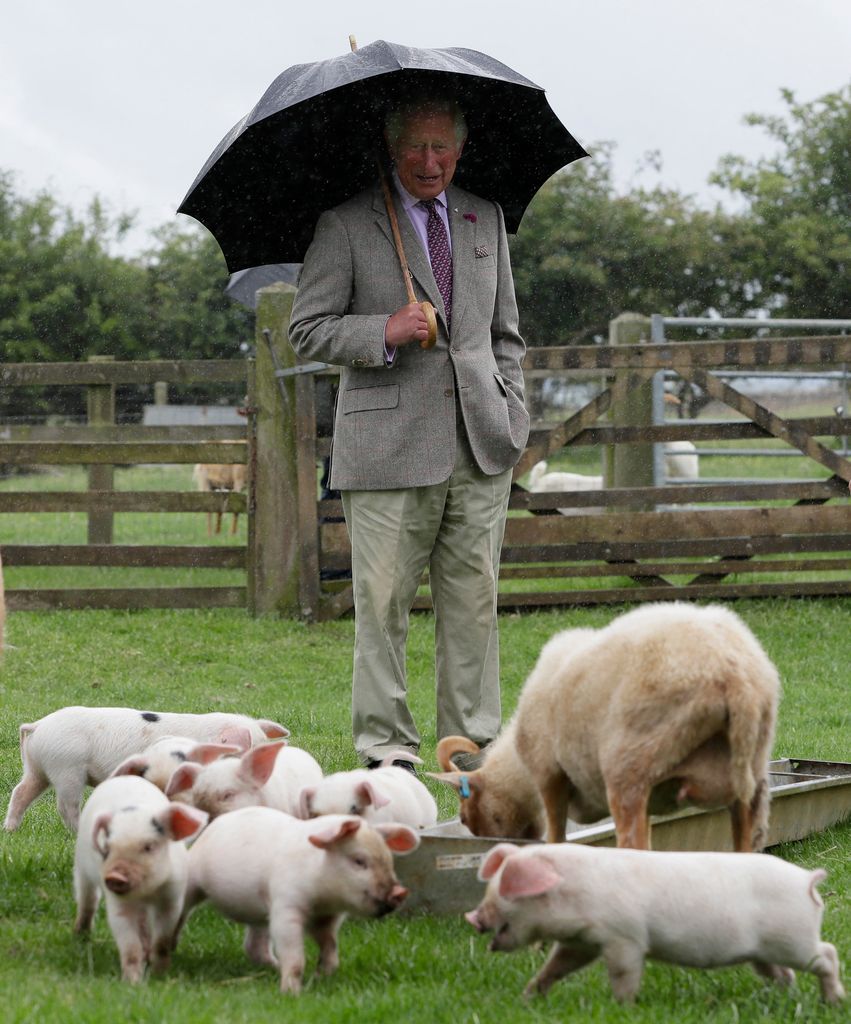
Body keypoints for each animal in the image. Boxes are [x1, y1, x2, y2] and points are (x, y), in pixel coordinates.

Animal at [432, 602, 778, 851]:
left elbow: (556, 840)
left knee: (633, 850)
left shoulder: (550, 777)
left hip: (629, 769)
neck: (518, 769)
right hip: (750, 782)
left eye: (464, 815)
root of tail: (733, 677)